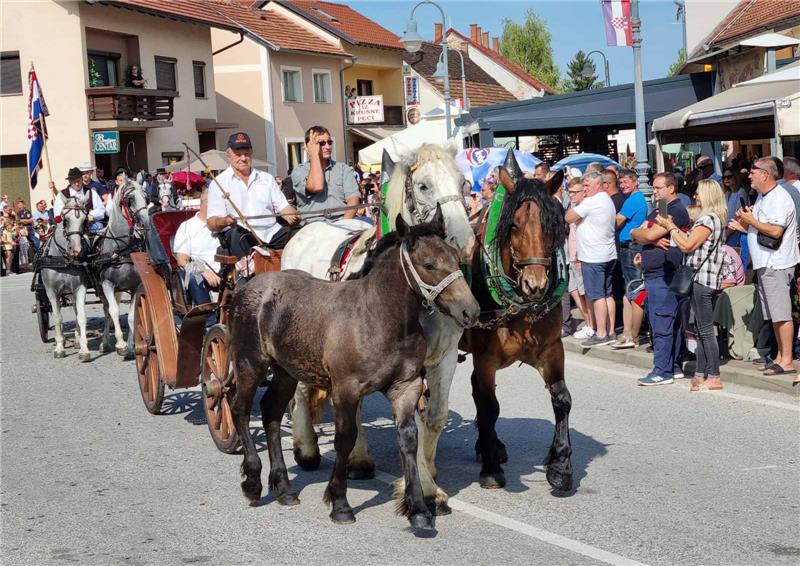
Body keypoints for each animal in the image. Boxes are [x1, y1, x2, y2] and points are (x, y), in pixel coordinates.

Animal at [39, 195, 92, 362]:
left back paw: (76, 340)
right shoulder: (51, 291)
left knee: (75, 310)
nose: (77, 250)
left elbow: (81, 317)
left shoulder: (80, 289)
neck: (63, 259)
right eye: (65, 220)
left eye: (85, 220)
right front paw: (59, 348)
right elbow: (57, 318)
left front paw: (84, 349)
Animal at [93, 180, 151, 358]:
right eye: (130, 199)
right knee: (107, 311)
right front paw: (121, 344)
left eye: (146, 197)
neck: (121, 250)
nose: (145, 223)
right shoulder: (107, 284)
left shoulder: (135, 287)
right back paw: (104, 342)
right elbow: (114, 311)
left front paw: (133, 346)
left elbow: (133, 316)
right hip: (101, 288)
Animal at [228, 210, 478, 532]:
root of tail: (248, 286)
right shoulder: (346, 389)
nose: (470, 311)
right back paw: (252, 481)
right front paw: (340, 504)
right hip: (250, 363)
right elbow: (344, 438)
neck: (377, 316)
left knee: (271, 412)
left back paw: (284, 488)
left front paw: (419, 507)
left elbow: (409, 437)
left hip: (285, 371)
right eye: (429, 265)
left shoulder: (406, 386)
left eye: (455, 257)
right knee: (241, 409)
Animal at [282, 143, 476, 516]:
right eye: (425, 185)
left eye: (463, 183)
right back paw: (307, 448)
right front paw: (425, 488)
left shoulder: (443, 356)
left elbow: (435, 417)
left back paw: (357, 459)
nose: (464, 242)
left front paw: (428, 476)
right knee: (300, 389)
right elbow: (412, 421)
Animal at [456, 159, 576, 492]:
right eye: (513, 226)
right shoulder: (486, 357)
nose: (536, 285)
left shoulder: (550, 349)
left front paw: (560, 465)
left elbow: (561, 399)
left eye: (553, 226)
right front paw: (490, 470)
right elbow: (489, 406)